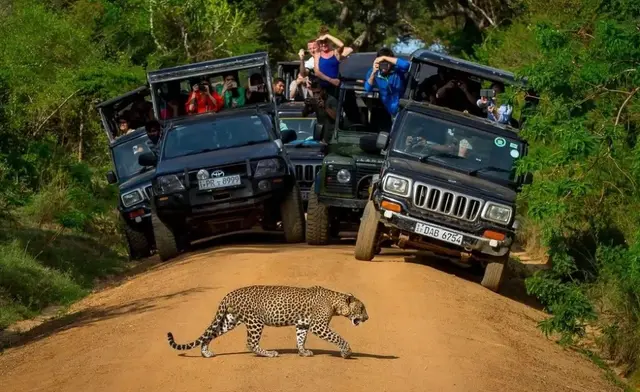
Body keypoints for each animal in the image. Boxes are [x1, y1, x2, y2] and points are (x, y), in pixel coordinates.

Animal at [166, 284, 370, 358]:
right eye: (361, 308)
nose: (367, 318)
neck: (336, 303)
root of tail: (229, 294)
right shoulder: (318, 326)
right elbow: (338, 338)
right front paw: (346, 352)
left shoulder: (303, 324)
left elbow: (300, 338)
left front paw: (303, 352)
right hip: (255, 322)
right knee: (250, 343)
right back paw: (269, 353)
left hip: (229, 320)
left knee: (210, 334)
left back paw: (206, 352)